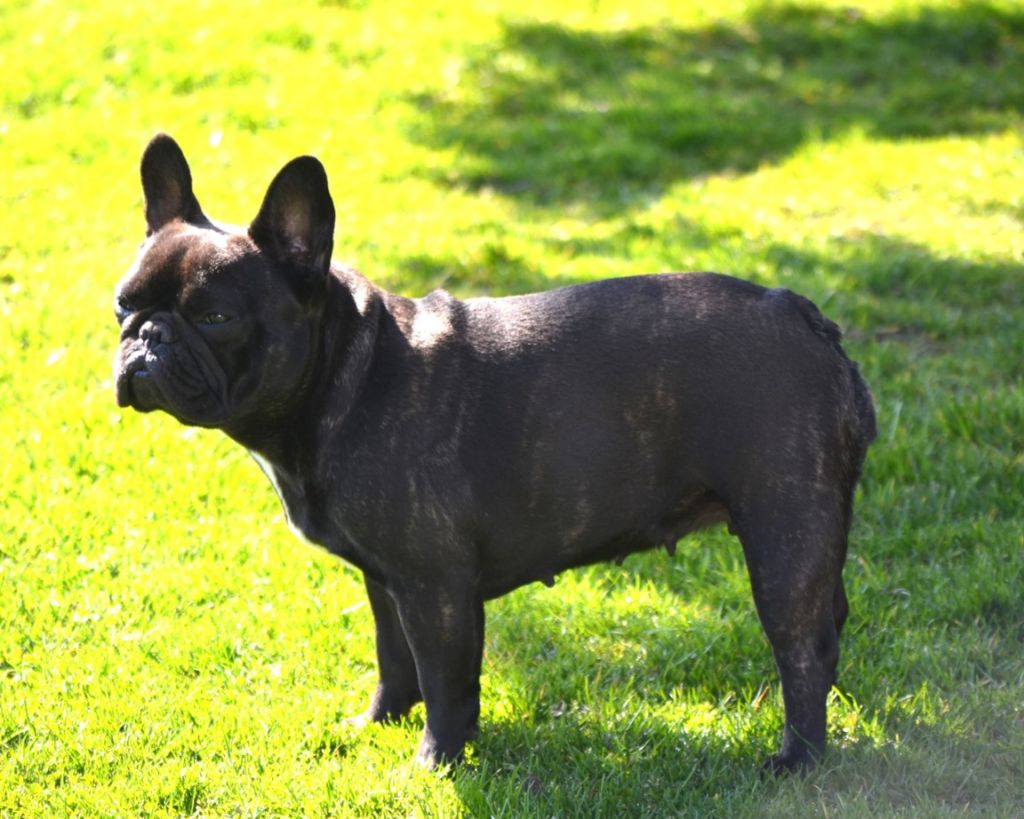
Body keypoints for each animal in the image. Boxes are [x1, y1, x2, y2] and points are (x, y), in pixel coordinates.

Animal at [116, 134, 876, 773]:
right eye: (123, 305)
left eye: (215, 317)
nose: (146, 338)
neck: (344, 373)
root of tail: (804, 316)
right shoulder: (386, 581)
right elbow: (394, 660)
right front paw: (379, 723)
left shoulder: (435, 588)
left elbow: (446, 681)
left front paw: (435, 764)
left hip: (783, 533)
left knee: (801, 646)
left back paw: (798, 759)